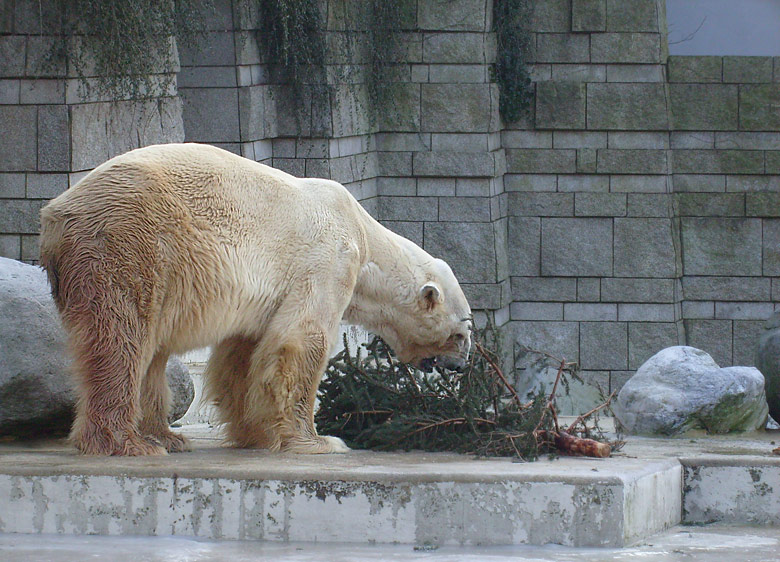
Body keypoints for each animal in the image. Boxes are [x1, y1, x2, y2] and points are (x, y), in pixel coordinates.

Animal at [39, 142, 470, 452]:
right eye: (461, 334)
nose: (461, 367)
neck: (364, 233)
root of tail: (55, 218)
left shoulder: (267, 295)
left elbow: (244, 354)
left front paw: (256, 433)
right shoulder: (328, 258)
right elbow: (302, 340)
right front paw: (319, 440)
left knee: (151, 352)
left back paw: (166, 437)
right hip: (131, 242)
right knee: (123, 335)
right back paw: (127, 442)